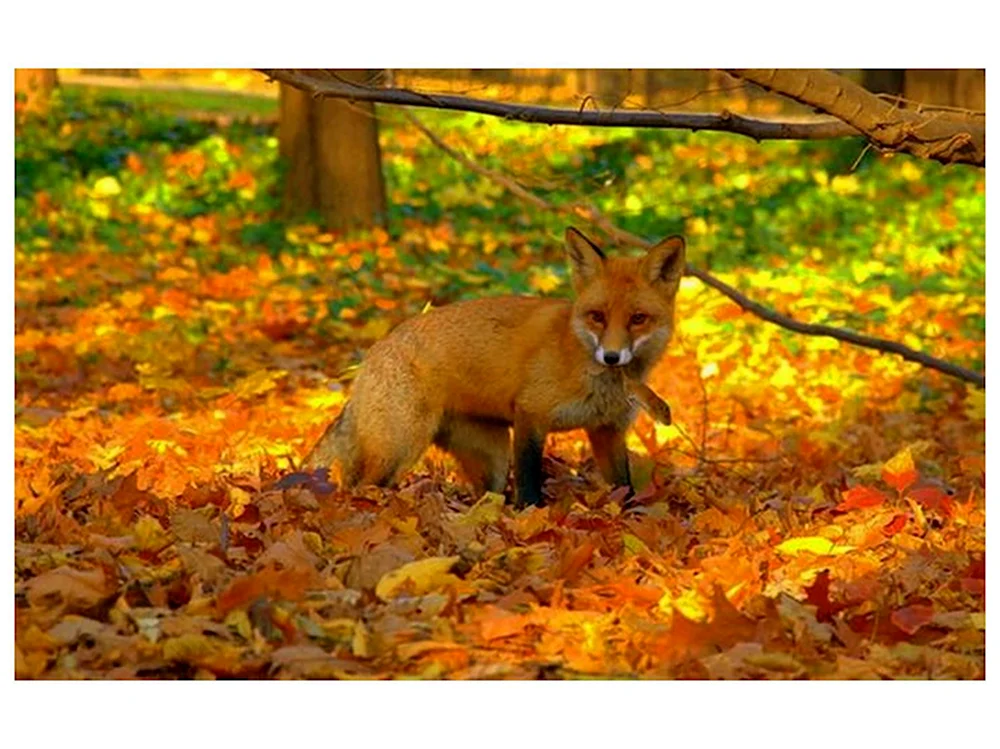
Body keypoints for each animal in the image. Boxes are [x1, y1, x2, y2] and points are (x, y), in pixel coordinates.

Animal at [302, 228, 688, 508]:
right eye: (597, 316)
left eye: (638, 319)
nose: (611, 356)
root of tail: (373, 352)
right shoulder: (531, 414)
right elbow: (530, 481)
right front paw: (531, 516)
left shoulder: (607, 430)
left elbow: (624, 487)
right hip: (401, 445)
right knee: (361, 487)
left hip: (492, 457)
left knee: (487, 495)